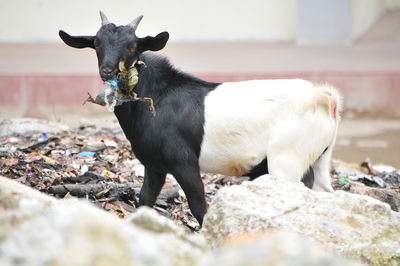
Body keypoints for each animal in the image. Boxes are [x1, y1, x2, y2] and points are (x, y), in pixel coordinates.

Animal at [58, 11, 340, 224]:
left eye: (132, 46)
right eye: (96, 43)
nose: (108, 70)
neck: (158, 96)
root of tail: (324, 98)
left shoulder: (184, 162)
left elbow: (198, 207)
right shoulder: (154, 165)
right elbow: (145, 200)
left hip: (287, 161)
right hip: (318, 161)